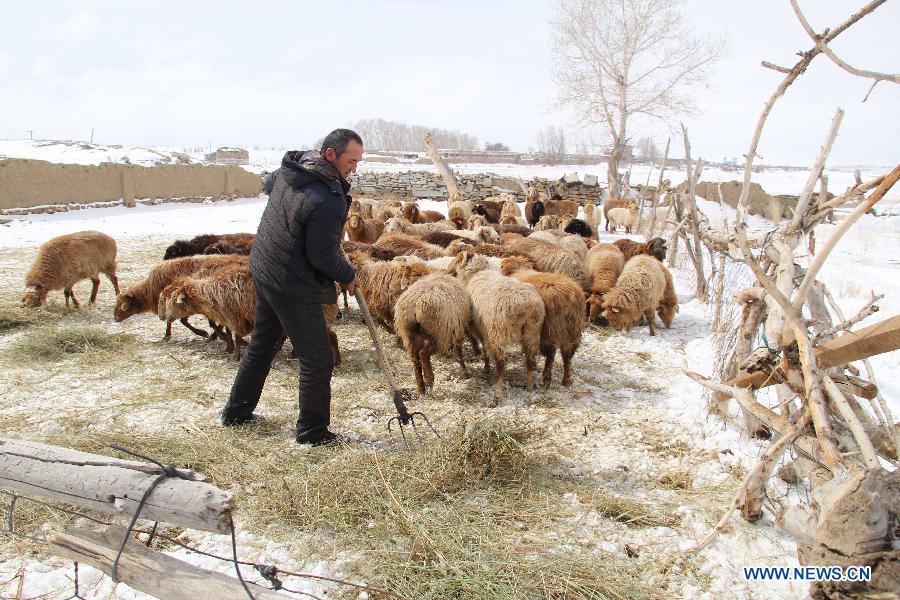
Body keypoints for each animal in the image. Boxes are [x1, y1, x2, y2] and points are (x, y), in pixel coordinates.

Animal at [114, 252, 244, 338]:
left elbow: (178, 321)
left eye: (122, 305)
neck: (148, 291)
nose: (115, 318)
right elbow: (176, 320)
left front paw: (202, 333)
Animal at [446, 251, 544, 406]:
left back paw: (496, 396)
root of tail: (525, 305)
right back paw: (529, 386)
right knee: (529, 359)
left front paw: (486, 368)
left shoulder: (481, 330)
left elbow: (485, 351)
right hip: (532, 332)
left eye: (456, 260)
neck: (475, 274)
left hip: (498, 334)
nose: (447, 270)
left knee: (502, 365)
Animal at [500, 258, 584, 390]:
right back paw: (566, 380)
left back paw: (547, 379)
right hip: (572, 331)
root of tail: (566, 295)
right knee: (567, 355)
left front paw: (534, 365)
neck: (519, 270)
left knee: (550, 354)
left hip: (547, 330)